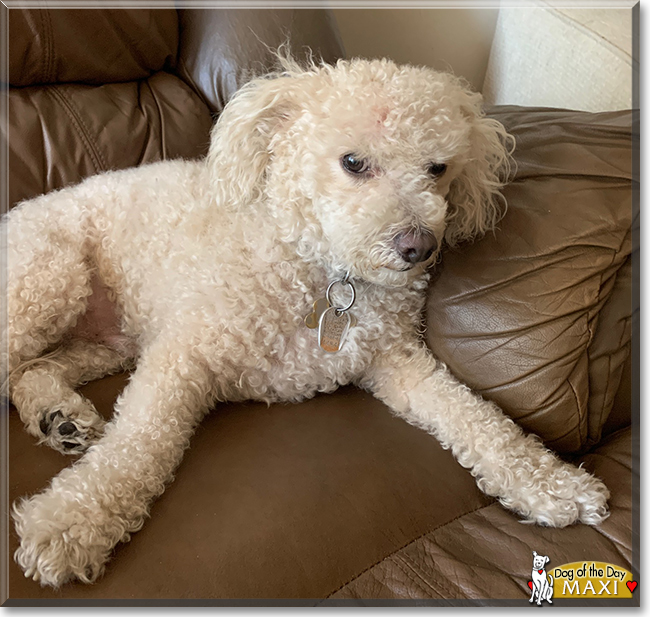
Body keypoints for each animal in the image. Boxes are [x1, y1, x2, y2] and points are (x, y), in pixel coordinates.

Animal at [1, 56, 608, 588]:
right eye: (353, 163)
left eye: (438, 169)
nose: (419, 247)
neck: (321, 271)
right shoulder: (182, 356)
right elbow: (138, 445)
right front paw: (70, 524)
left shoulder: (395, 361)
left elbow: (474, 416)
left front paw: (550, 481)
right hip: (49, 278)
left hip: (106, 338)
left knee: (28, 373)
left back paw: (59, 418)